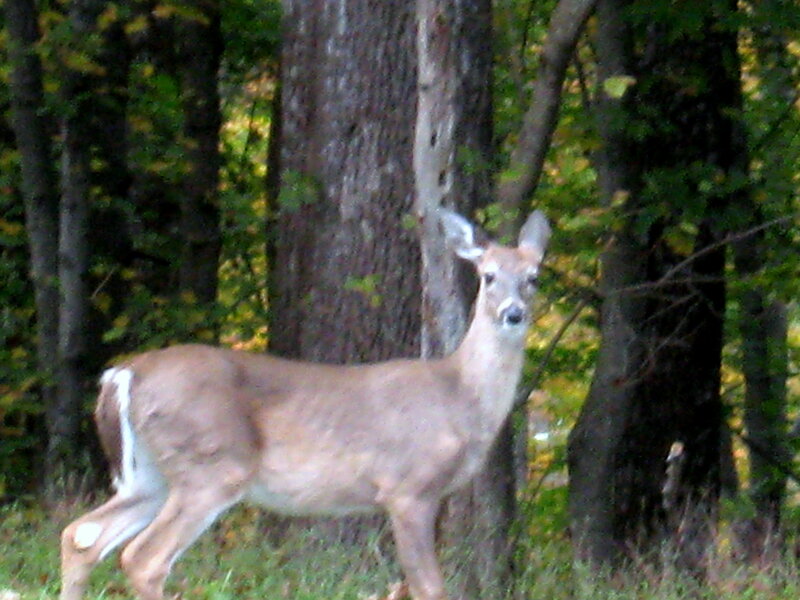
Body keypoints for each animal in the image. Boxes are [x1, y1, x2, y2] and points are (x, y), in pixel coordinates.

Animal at [59, 209, 551, 600]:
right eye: (488, 275)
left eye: (533, 277)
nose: (513, 313)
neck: (459, 398)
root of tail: (123, 374)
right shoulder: (408, 487)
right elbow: (429, 587)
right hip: (212, 464)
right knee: (142, 558)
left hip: (148, 476)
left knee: (80, 536)